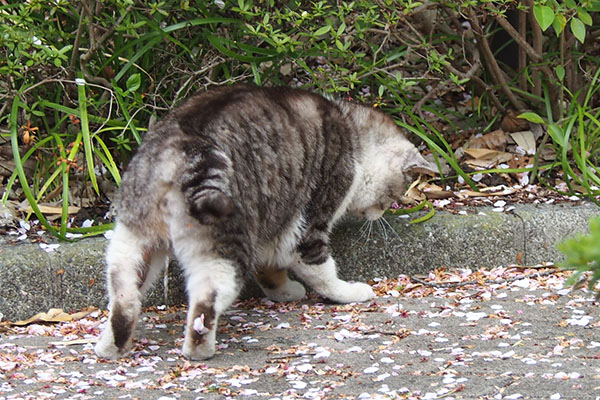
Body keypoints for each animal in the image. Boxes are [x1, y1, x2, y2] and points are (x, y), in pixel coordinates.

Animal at [96, 84, 438, 360]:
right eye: (393, 194)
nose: (382, 213)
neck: (352, 131)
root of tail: (181, 144)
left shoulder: (275, 227)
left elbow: (270, 271)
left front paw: (284, 292)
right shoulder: (310, 223)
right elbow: (322, 271)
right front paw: (348, 292)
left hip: (132, 242)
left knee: (124, 297)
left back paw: (109, 346)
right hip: (226, 249)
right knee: (205, 303)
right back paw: (198, 350)